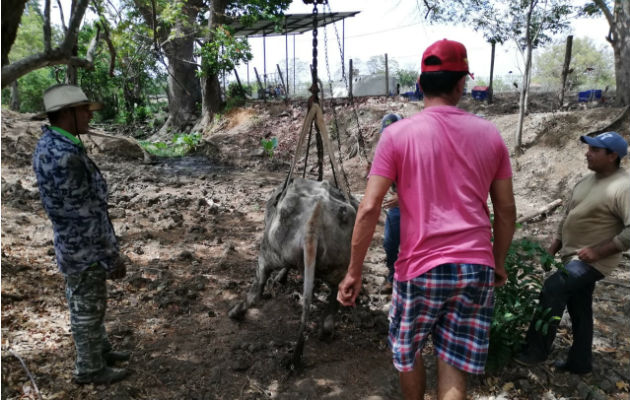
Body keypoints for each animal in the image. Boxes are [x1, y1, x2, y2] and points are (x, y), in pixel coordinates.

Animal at [228, 178, 358, 368]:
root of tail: (315, 217)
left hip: (269, 249)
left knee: (257, 289)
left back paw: (235, 312)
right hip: (340, 263)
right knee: (334, 297)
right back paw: (325, 332)